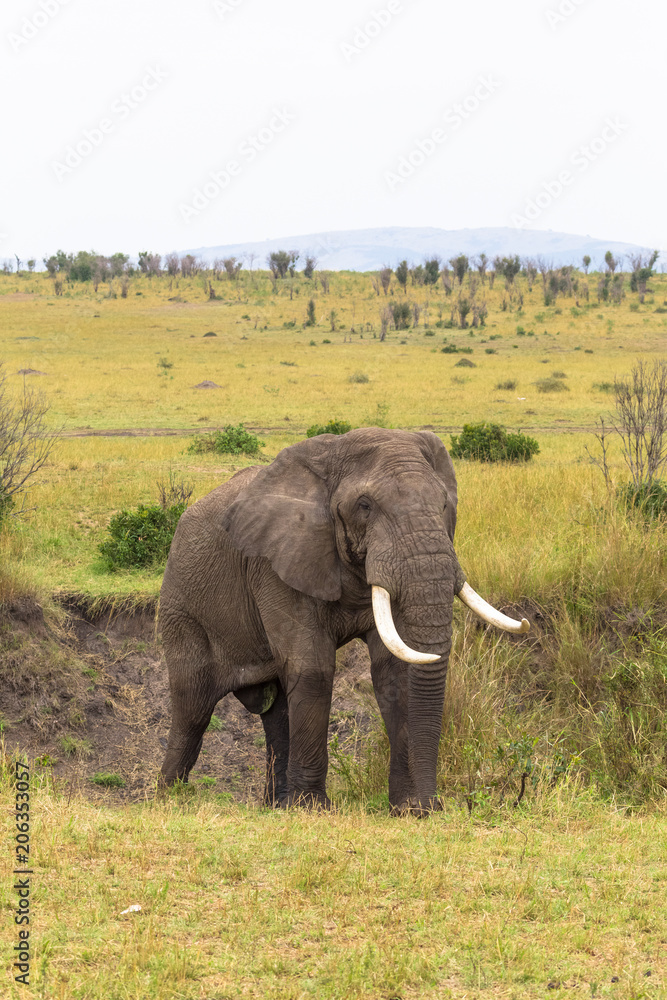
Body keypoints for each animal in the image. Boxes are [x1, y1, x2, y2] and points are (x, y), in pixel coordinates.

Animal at [159, 427, 528, 815]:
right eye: (364, 506)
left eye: (444, 505)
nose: (433, 807)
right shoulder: (276, 562)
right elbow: (313, 668)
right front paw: (311, 809)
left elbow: (394, 670)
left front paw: (404, 808)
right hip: (181, 606)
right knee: (193, 707)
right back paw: (168, 799)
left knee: (275, 711)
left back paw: (274, 807)